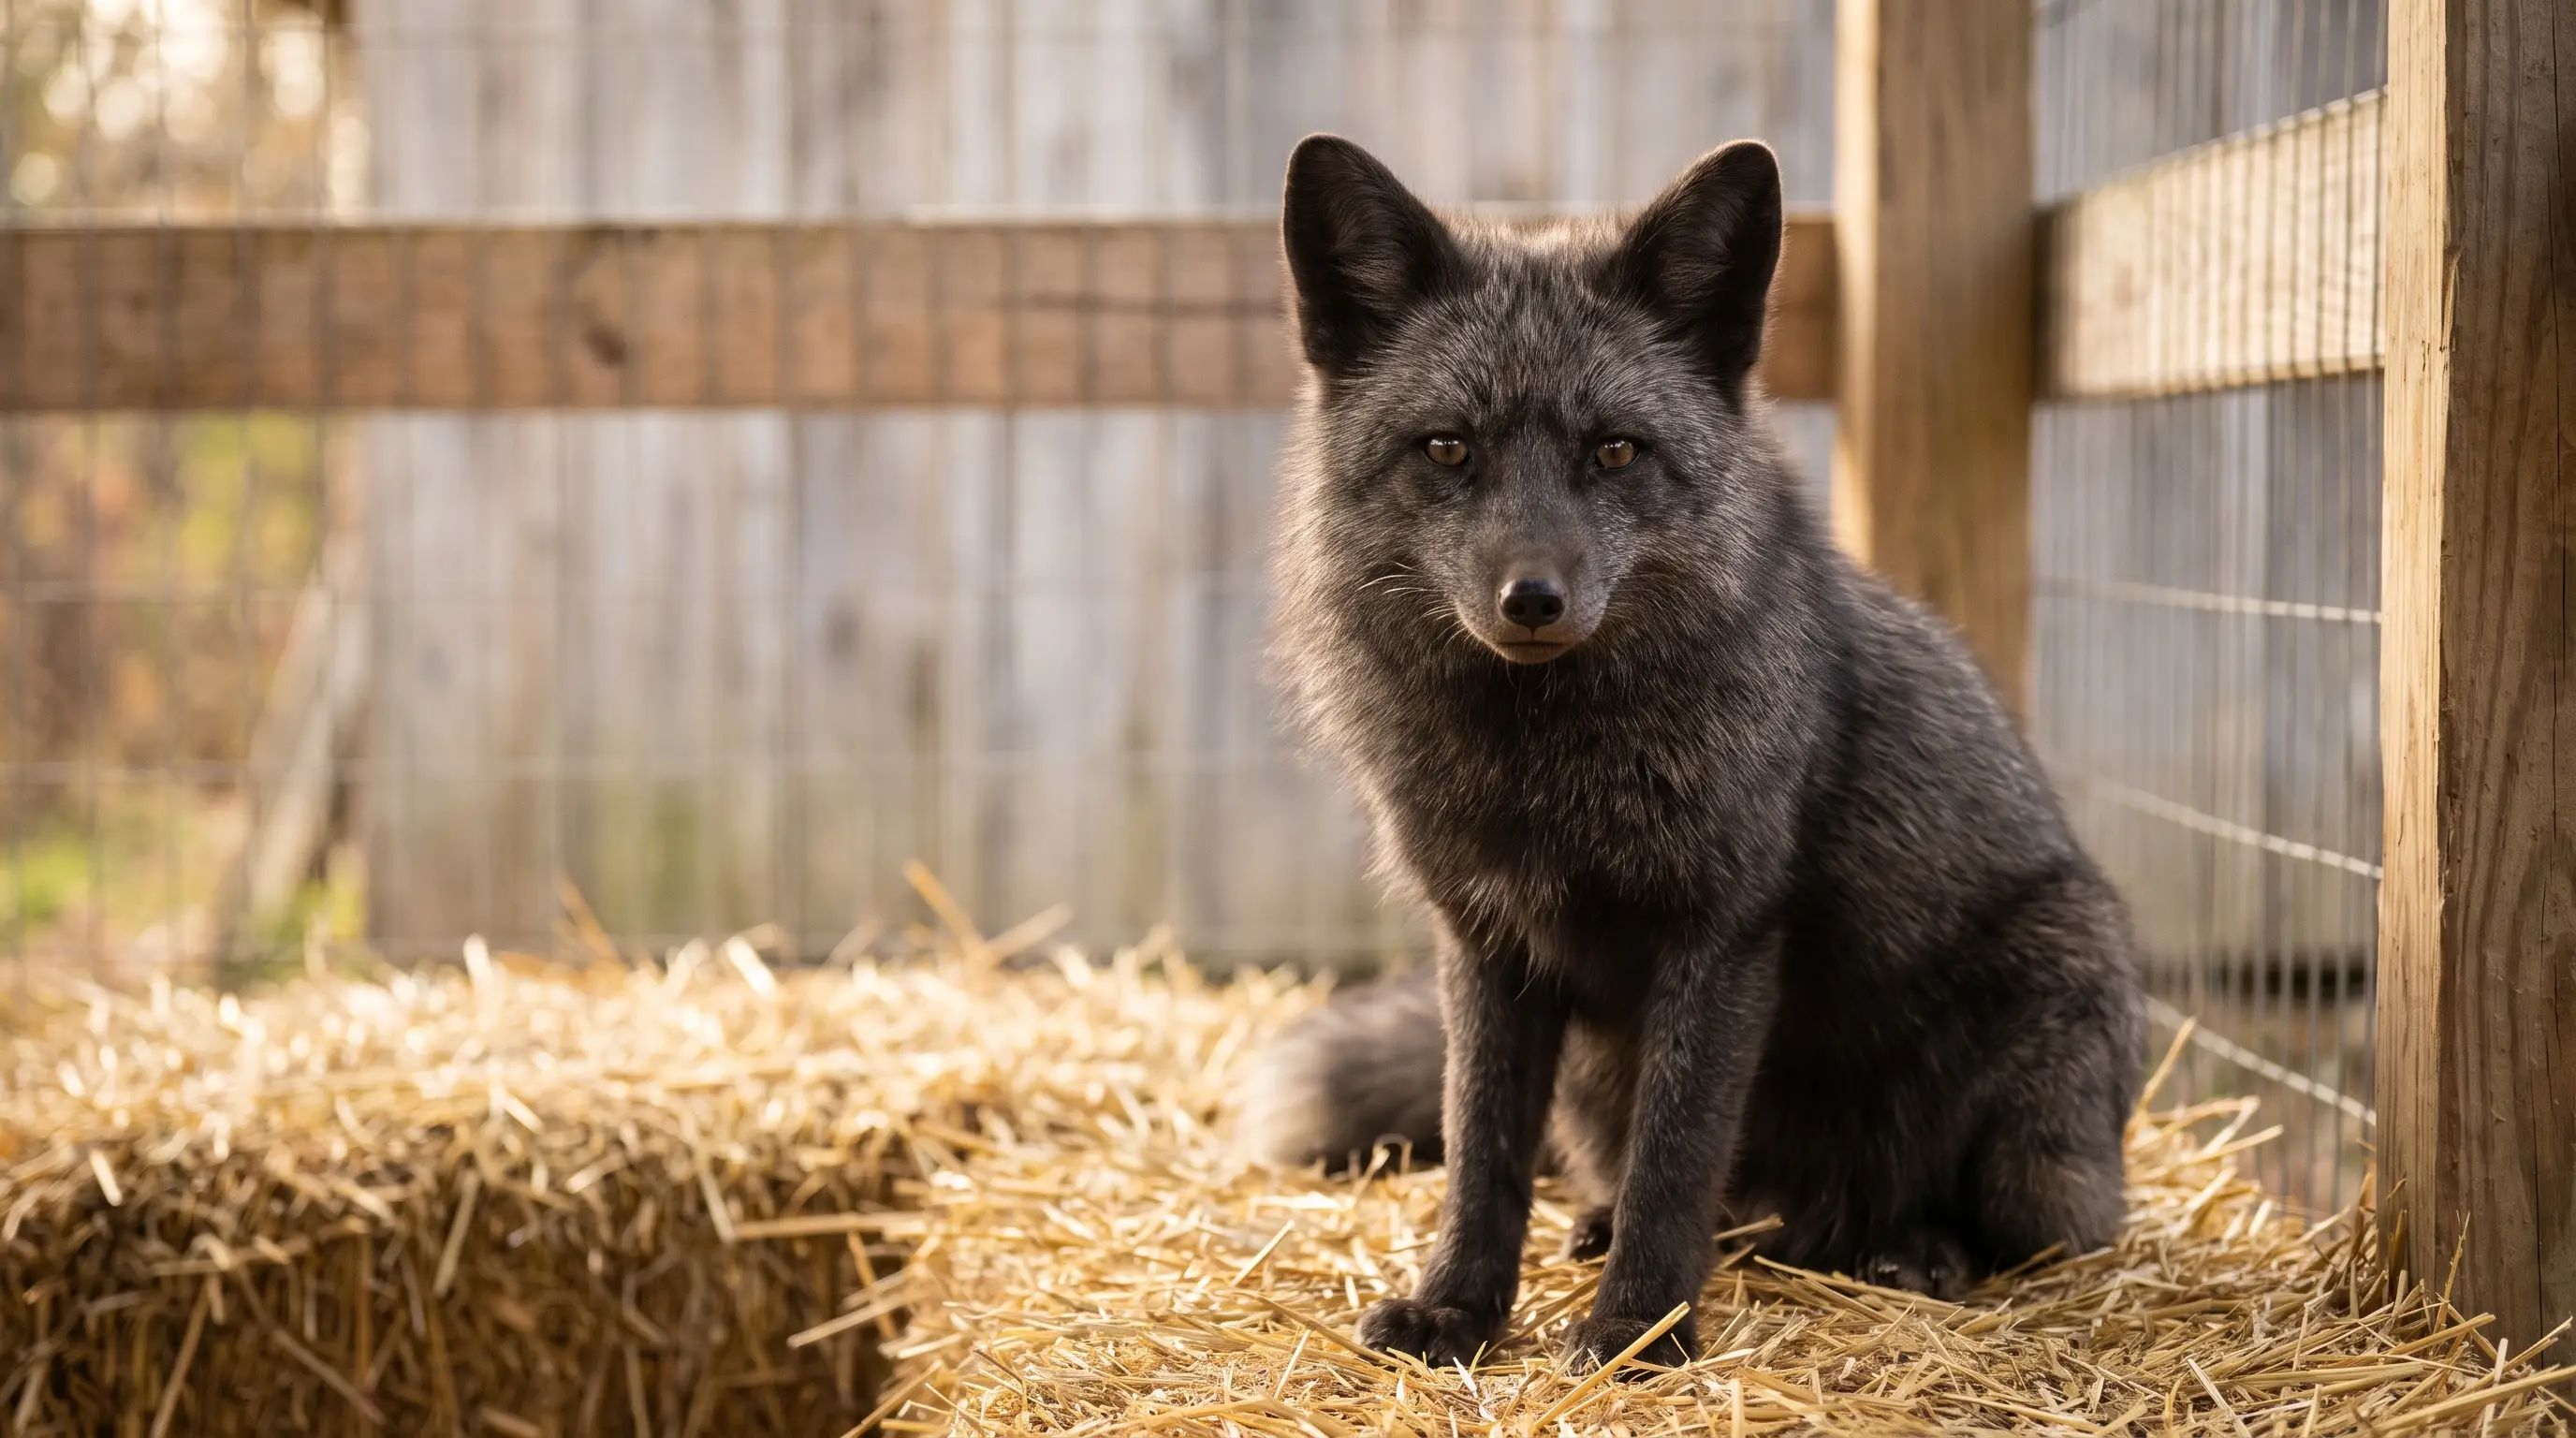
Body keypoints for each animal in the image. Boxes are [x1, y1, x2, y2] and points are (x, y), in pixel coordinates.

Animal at [1242, 133, 2146, 1374]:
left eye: (1616, 451)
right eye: (1448, 448)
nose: (1533, 600)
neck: (1542, 768)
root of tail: (1801, 1215)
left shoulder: (1719, 933)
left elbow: (1674, 1162)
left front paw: (1636, 1328)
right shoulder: (1485, 945)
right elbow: (1481, 1158)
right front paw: (1458, 1311)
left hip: (2040, 1046)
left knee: (2026, 1229)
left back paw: (1915, 1248)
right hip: (1591, 1077)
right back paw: (1616, 1225)